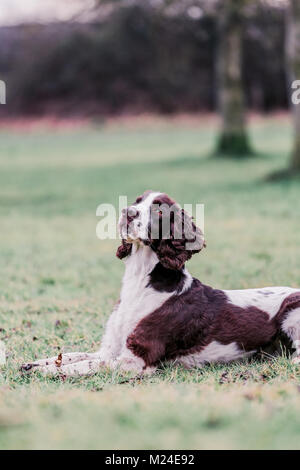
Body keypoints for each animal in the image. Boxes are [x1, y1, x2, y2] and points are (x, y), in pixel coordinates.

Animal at [21, 189, 300, 376]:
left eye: (158, 210)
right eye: (136, 202)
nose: (127, 212)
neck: (140, 282)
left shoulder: (136, 358)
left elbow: (84, 364)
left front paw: (45, 372)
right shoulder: (110, 349)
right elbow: (71, 356)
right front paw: (35, 363)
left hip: (292, 311)